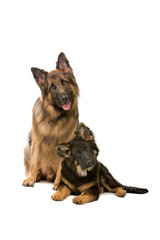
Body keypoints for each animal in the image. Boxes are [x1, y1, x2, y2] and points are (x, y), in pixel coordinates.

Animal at [22, 53, 79, 188]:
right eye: (52, 88)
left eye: (64, 82)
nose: (64, 98)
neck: (55, 118)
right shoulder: (36, 140)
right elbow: (35, 162)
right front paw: (31, 178)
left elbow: (60, 167)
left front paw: (59, 183)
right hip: (27, 148)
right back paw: (37, 176)